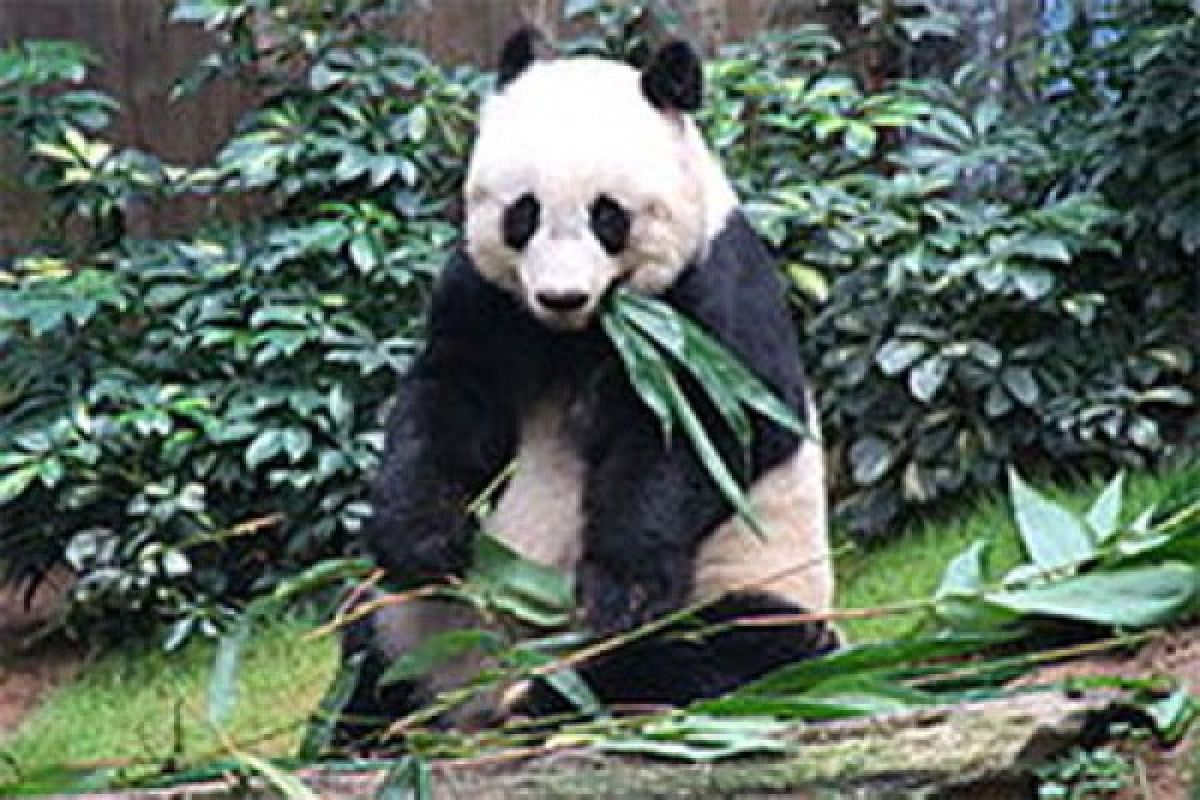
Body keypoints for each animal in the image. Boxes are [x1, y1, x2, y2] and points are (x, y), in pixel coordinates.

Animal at [333, 29, 840, 743]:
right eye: (522, 214)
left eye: (610, 217)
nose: (562, 296)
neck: (581, 333)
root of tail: (469, 705)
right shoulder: (485, 297)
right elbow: (448, 398)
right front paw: (423, 538)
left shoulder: (713, 297)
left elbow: (706, 432)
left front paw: (620, 588)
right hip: (403, 619)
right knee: (366, 646)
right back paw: (363, 728)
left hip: (755, 581)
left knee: (711, 650)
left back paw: (547, 701)